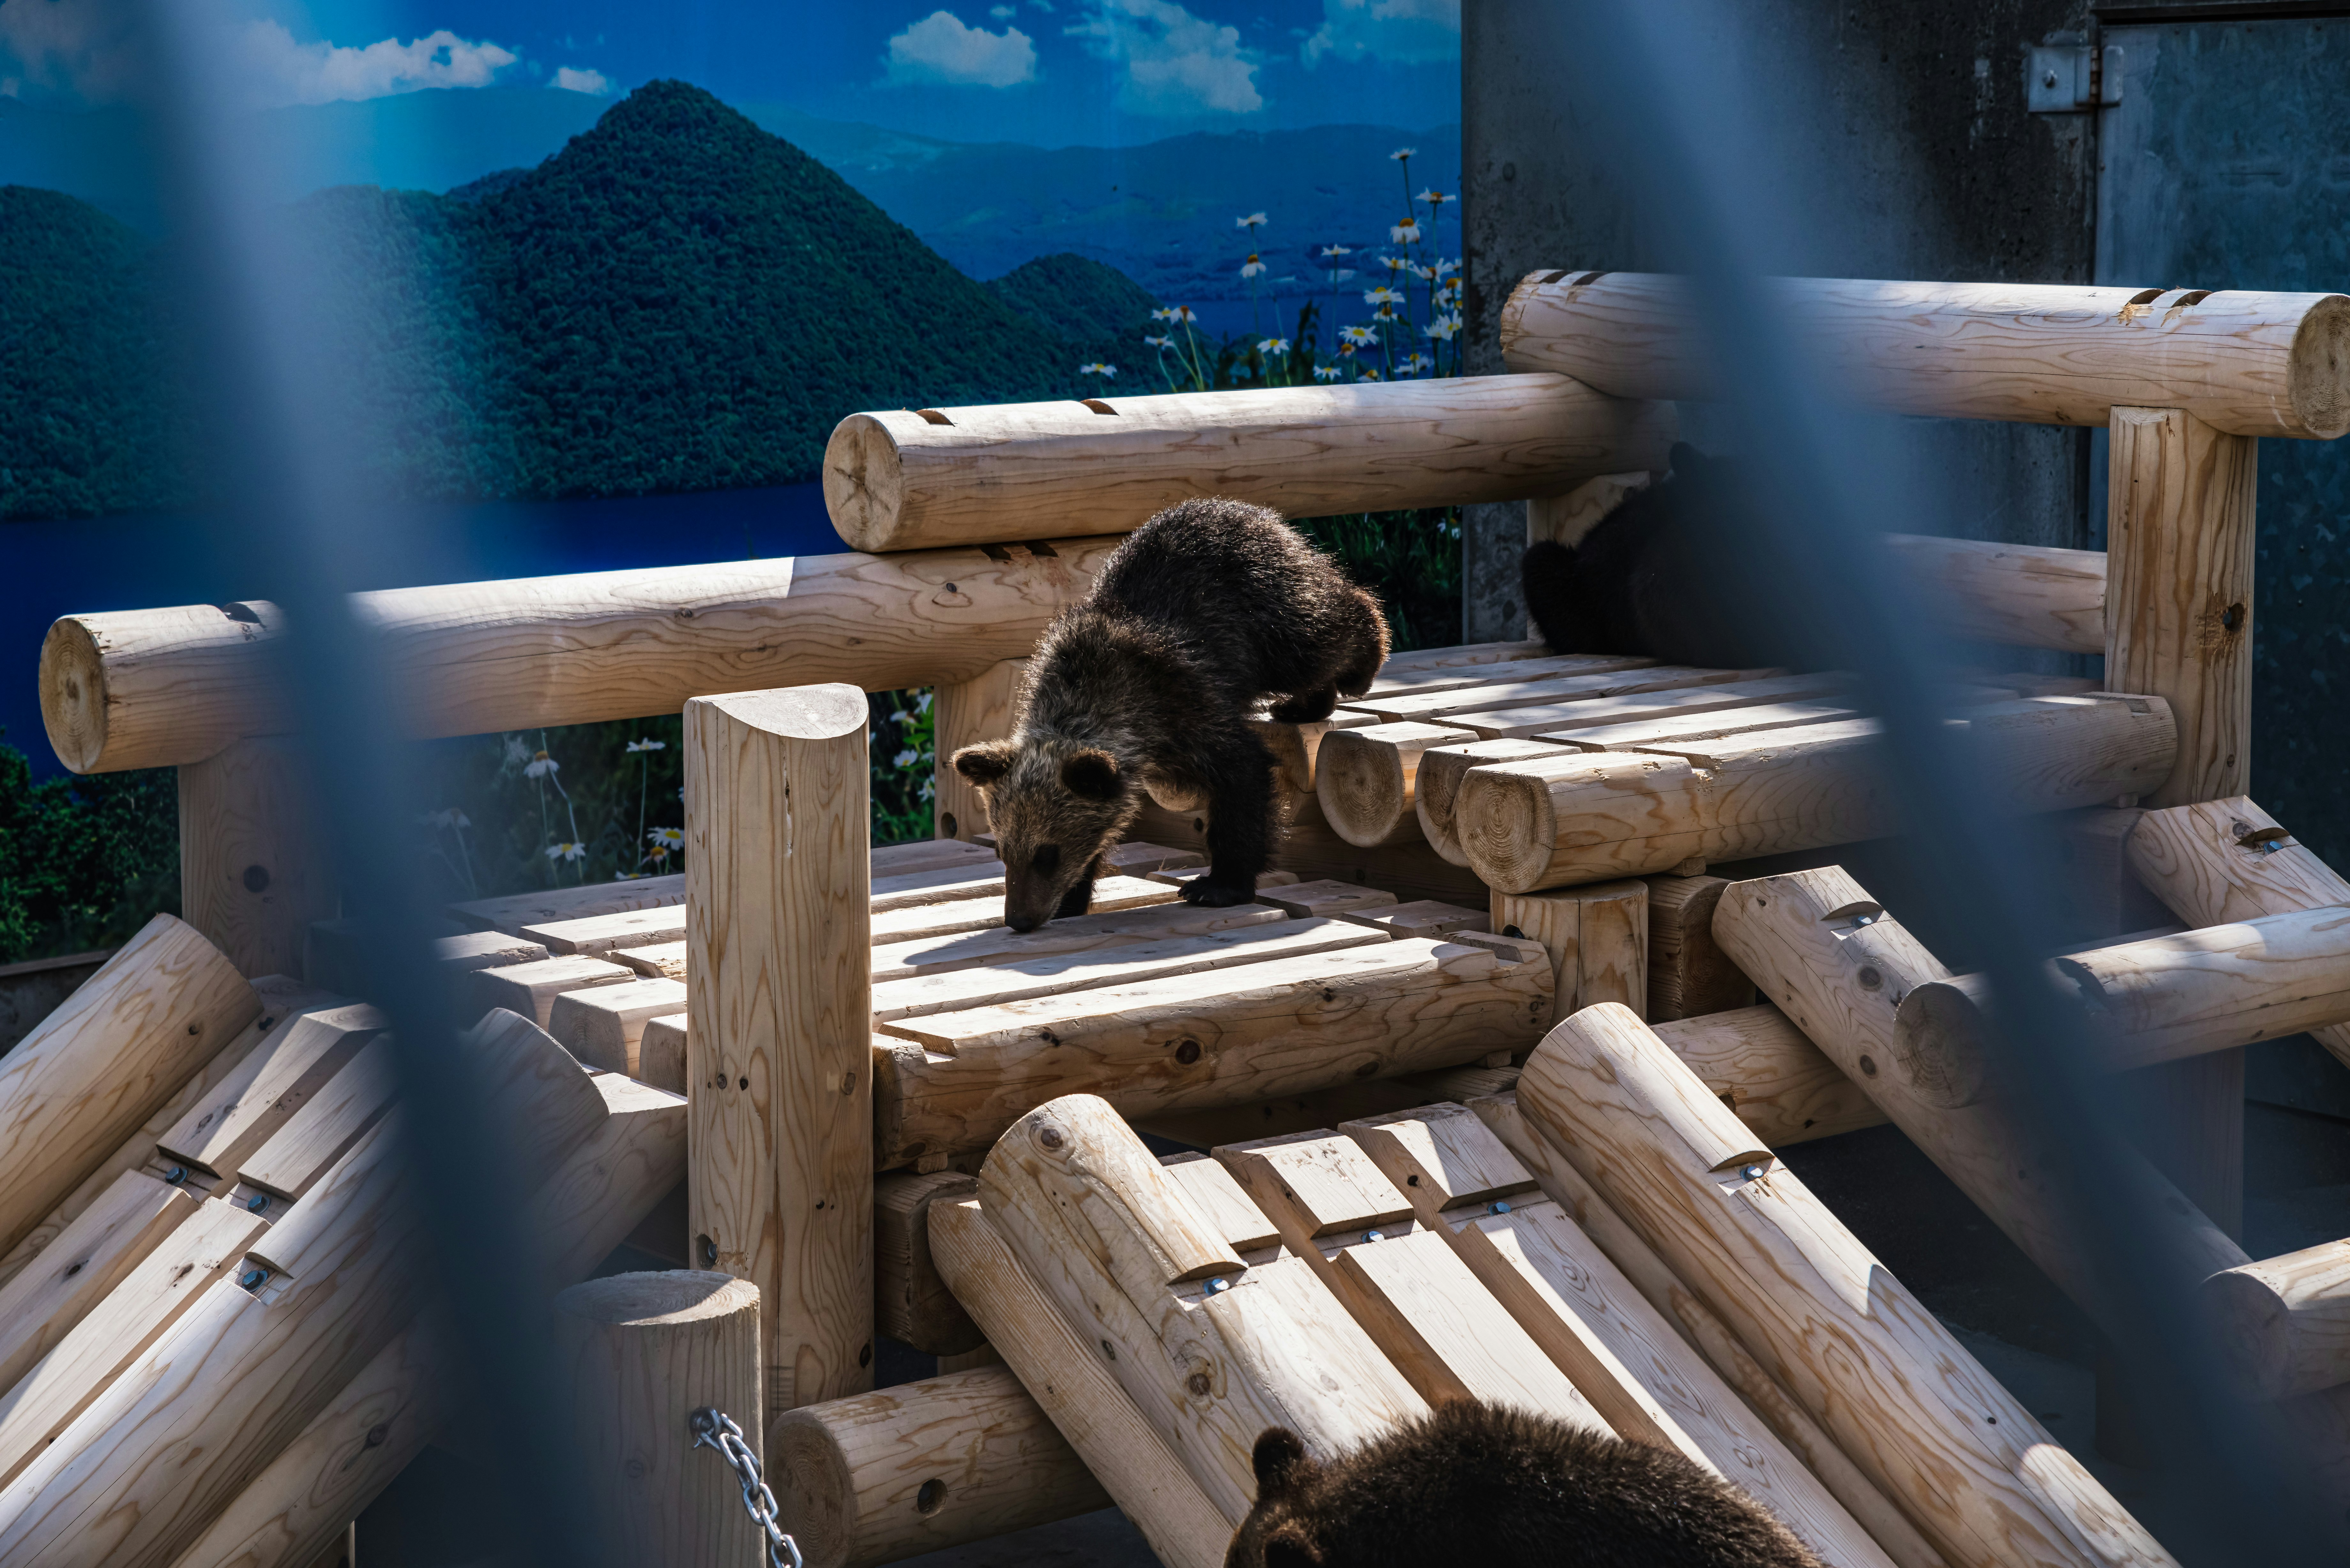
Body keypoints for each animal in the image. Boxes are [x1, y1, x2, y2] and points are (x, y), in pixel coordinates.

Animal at [950, 497, 1389, 931]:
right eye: (1003, 852)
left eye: (1047, 853)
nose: (1019, 919)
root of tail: (1256, 513)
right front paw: (1073, 899)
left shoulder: (1189, 707)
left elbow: (1243, 781)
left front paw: (1220, 884)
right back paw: (1303, 704)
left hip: (1270, 618)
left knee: (1323, 634)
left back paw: (1361, 660)